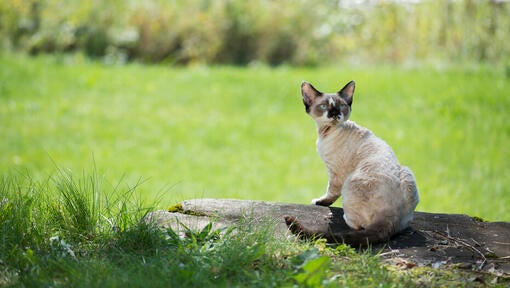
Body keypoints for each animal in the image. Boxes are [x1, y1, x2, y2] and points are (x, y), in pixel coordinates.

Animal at [282, 80, 418, 246]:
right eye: (324, 106)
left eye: (341, 106)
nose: (335, 113)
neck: (325, 132)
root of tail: (392, 215)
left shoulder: (335, 173)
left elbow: (330, 193)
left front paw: (320, 202)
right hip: (408, 172)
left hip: (349, 182)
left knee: (358, 225)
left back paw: (344, 217)